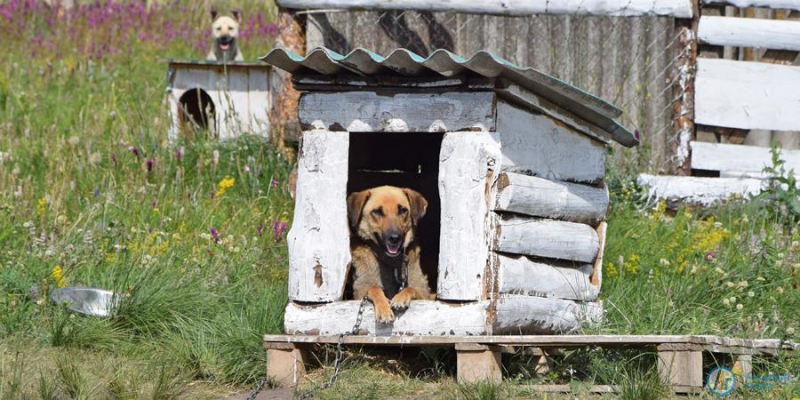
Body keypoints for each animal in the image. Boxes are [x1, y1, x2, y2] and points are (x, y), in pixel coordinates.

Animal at [344, 186, 432, 324]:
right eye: (377, 212)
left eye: (403, 210)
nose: (394, 238)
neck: (392, 263)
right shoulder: (360, 293)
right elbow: (374, 289)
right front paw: (384, 310)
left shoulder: (424, 295)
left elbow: (411, 288)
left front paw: (400, 298)